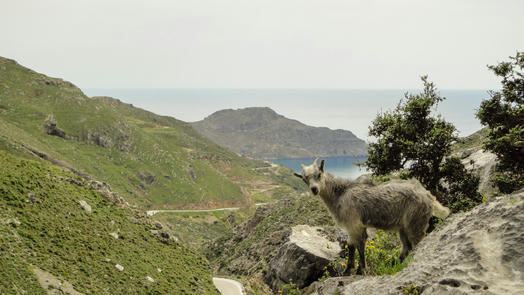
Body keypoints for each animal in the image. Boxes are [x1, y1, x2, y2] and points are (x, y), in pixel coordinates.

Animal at [294, 158, 450, 276]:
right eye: (304, 179)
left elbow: (357, 245)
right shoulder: (353, 227)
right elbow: (353, 245)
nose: (314, 189)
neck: (340, 193)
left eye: (319, 174)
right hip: (403, 227)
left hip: (415, 222)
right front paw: (352, 270)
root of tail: (428, 196)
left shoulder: (355, 224)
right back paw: (394, 263)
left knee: (417, 242)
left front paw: (358, 270)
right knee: (406, 247)